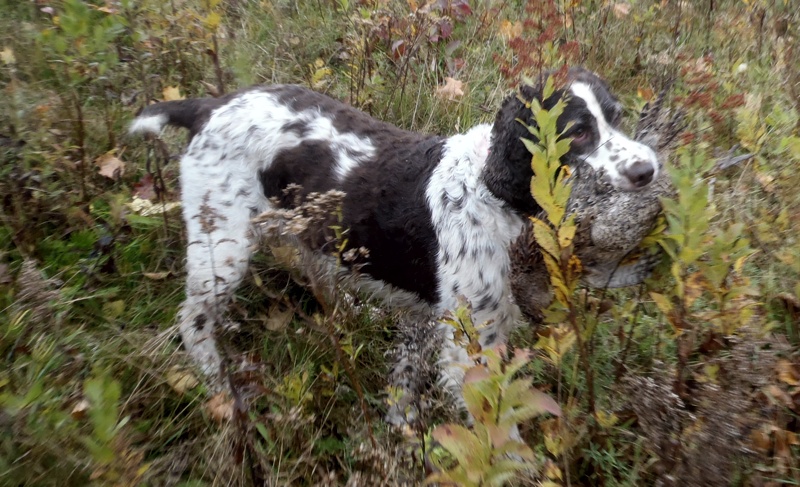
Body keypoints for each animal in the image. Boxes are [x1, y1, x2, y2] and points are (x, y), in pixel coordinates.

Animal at [130, 67, 656, 424]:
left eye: (617, 118)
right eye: (579, 132)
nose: (647, 170)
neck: (495, 193)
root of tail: (209, 107)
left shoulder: (434, 319)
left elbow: (406, 377)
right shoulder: (471, 342)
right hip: (222, 247)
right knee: (193, 319)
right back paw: (221, 386)